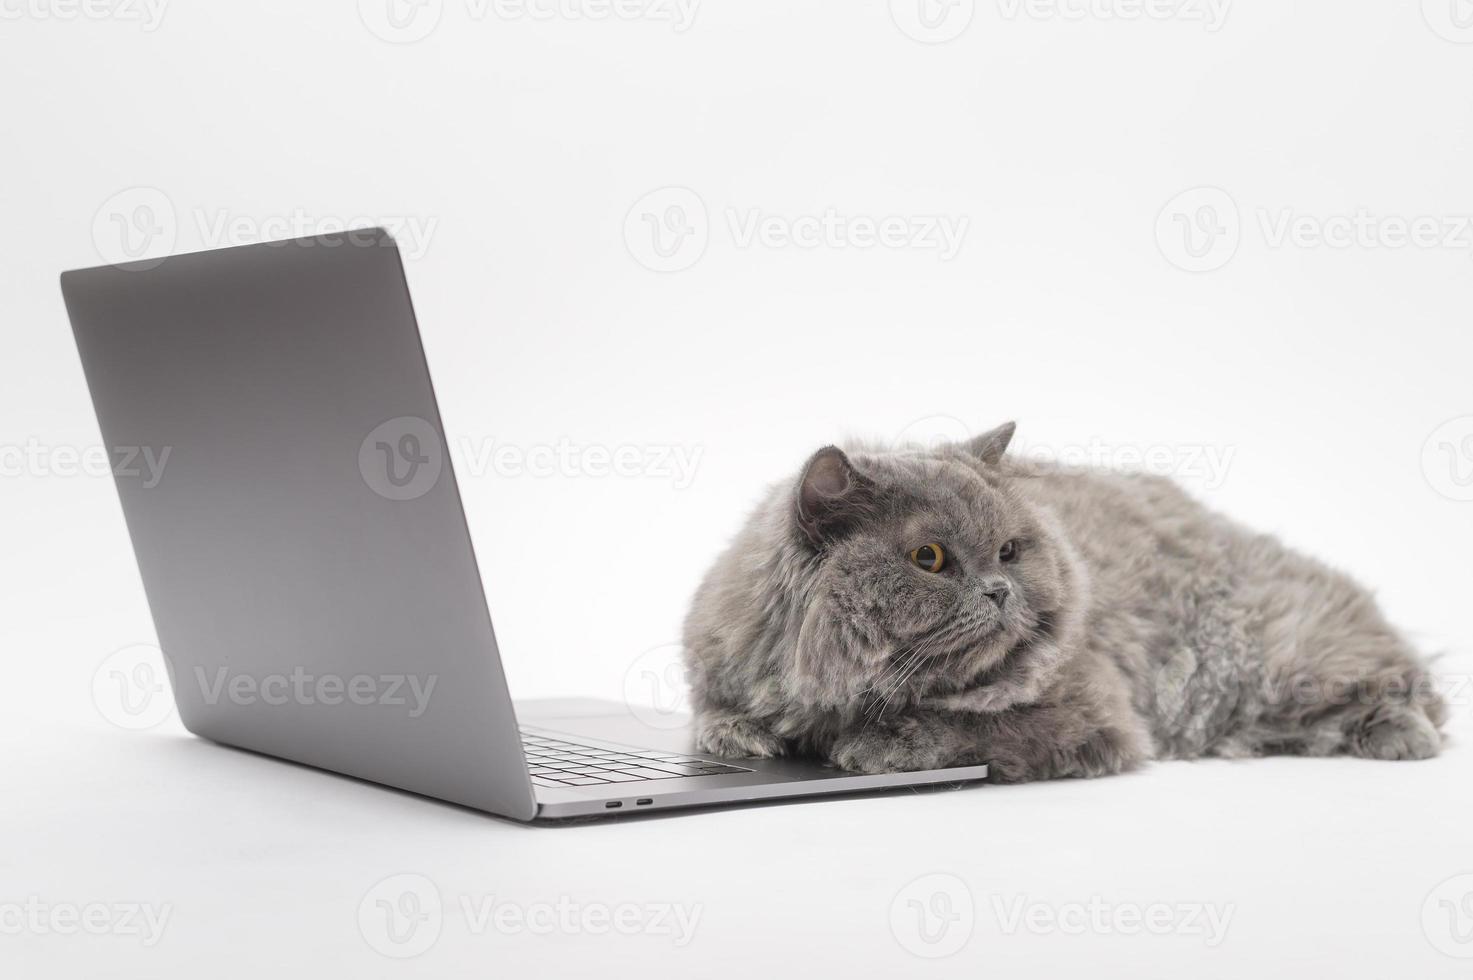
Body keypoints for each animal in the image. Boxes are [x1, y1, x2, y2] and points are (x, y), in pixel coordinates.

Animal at [683, 421, 1443, 778]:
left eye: (1008, 551)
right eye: (929, 559)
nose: (999, 590)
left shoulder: (1089, 713)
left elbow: (968, 728)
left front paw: (874, 746)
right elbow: (715, 718)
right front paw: (746, 737)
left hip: (1280, 657)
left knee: (1401, 682)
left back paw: (1406, 738)